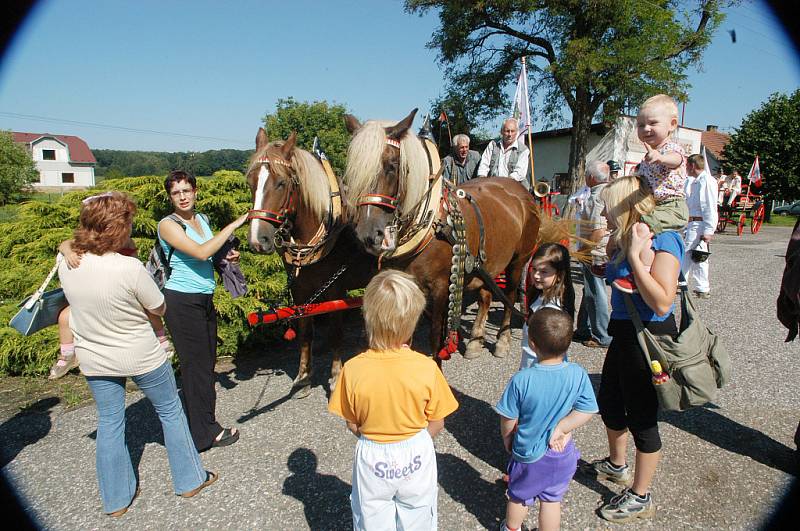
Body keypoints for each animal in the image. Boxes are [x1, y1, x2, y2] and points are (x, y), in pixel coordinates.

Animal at [247, 128, 378, 394]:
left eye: (281, 183)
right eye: (251, 182)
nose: (257, 240)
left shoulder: (335, 289)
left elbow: (335, 333)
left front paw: (335, 376)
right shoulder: (300, 290)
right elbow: (305, 332)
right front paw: (304, 376)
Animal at [340, 110, 540, 360]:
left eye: (392, 166)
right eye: (353, 171)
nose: (368, 234)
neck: (433, 223)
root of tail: (520, 191)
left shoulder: (441, 287)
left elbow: (435, 338)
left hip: (518, 261)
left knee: (510, 296)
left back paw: (502, 340)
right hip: (490, 262)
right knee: (486, 296)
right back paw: (475, 341)